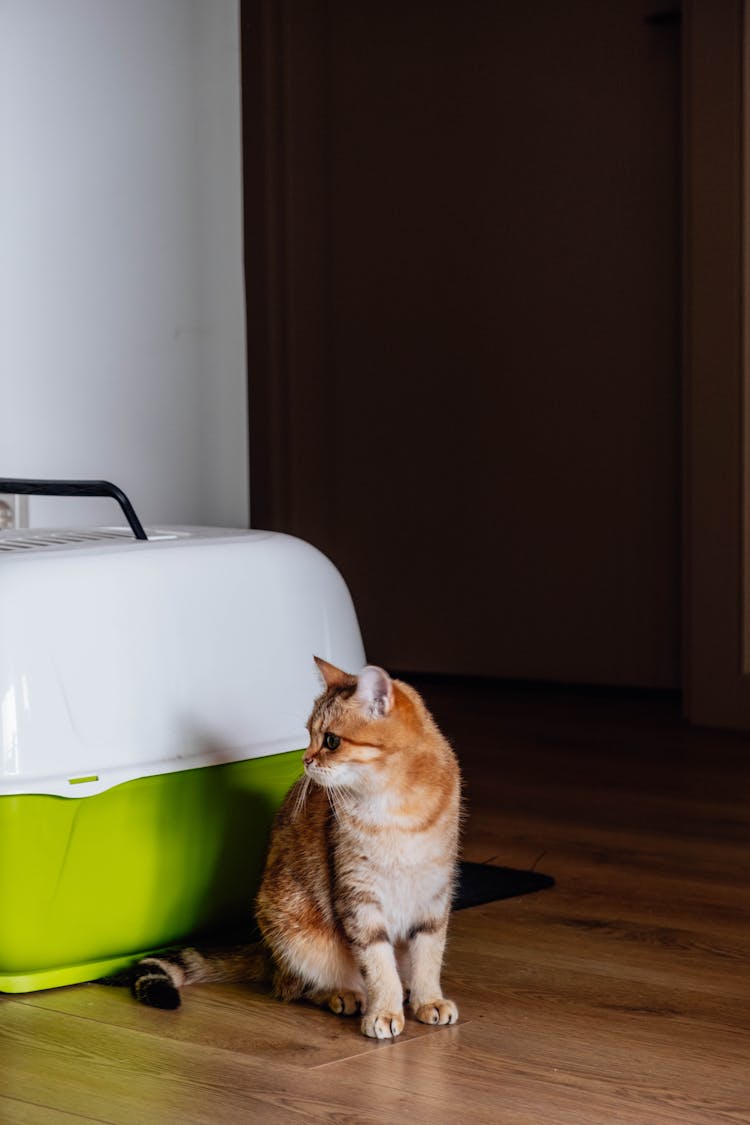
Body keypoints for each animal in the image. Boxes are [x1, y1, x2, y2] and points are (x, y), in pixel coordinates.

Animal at [130, 657, 458, 1035]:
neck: (395, 806)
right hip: (291, 926)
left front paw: (428, 1000)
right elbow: (378, 964)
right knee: (294, 986)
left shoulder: (434, 896)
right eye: (309, 734)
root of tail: (266, 953)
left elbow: (428, 957)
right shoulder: (358, 898)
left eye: (331, 741)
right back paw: (344, 994)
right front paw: (385, 1012)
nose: (305, 759)